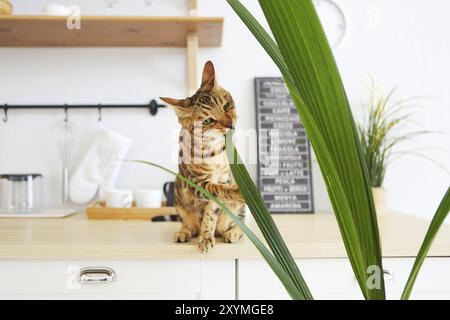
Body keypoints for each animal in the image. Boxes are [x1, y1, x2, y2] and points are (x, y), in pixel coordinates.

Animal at [160, 60, 246, 252]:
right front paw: (205, 237)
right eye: (208, 121)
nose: (230, 125)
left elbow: (211, 211)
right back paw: (184, 232)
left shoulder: (224, 176)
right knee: (187, 223)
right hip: (179, 195)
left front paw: (206, 236)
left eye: (226, 105)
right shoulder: (196, 182)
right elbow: (217, 190)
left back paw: (232, 232)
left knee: (240, 221)